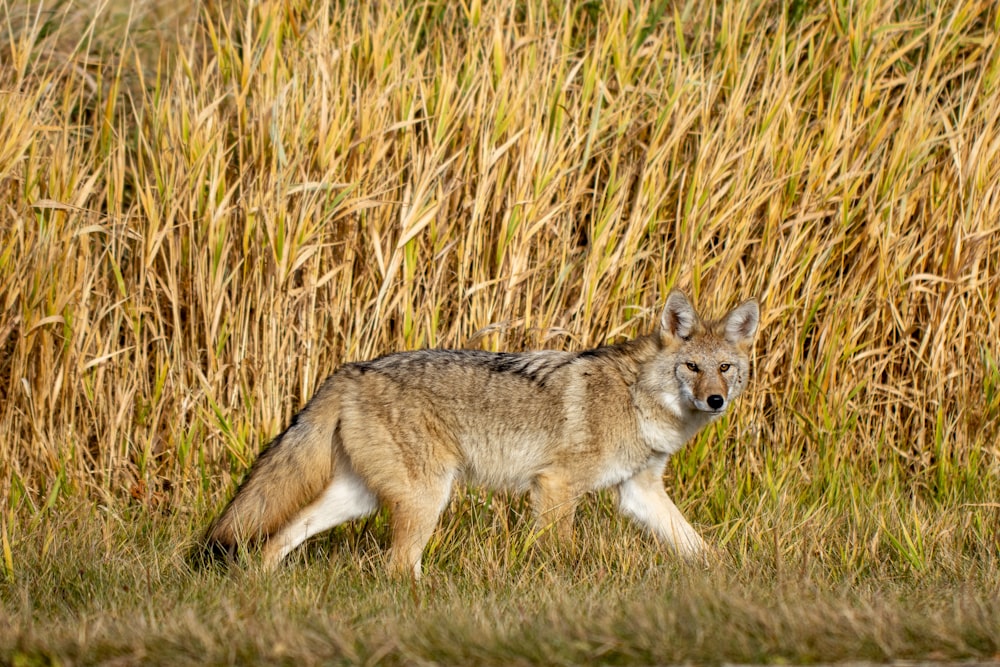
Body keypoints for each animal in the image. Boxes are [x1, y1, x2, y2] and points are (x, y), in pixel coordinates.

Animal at [207, 290, 760, 576]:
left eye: (725, 369)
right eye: (691, 367)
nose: (715, 401)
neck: (637, 398)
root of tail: (349, 370)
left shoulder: (639, 492)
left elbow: (697, 546)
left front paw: (731, 581)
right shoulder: (556, 486)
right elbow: (563, 555)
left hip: (360, 498)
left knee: (280, 538)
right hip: (426, 497)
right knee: (397, 567)